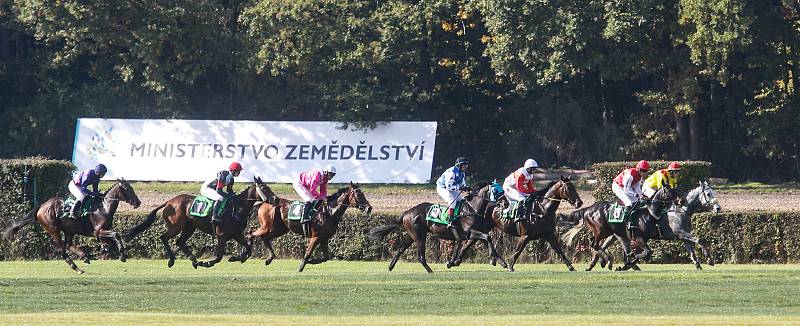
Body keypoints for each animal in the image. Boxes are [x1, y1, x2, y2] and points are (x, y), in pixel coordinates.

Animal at [3, 180, 141, 274]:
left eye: (131, 187)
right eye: (127, 188)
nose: (138, 202)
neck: (104, 207)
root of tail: (42, 206)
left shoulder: (102, 234)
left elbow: (111, 242)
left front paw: (103, 249)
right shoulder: (98, 232)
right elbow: (116, 234)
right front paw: (122, 256)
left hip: (69, 230)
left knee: (68, 246)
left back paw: (85, 256)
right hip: (53, 229)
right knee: (62, 250)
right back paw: (77, 268)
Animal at [368, 185, 506, 274]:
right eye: (496, 190)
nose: (506, 204)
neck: (472, 210)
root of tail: (407, 212)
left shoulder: (475, 234)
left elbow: (487, 241)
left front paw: (503, 263)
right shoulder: (470, 233)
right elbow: (487, 237)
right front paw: (452, 262)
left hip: (412, 235)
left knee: (400, 249)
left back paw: (390, 267)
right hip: (420, 237)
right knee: (420, 256)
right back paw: (430, 271)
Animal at [576, 181, 724, 270]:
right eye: (708, 194)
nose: (718, 208)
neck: (680, 211)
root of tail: (588, 208)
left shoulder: (682, 236)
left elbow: (692, 251)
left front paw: (699, 266)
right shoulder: (679, 232)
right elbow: (700, 239)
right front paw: (710, 260)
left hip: (615, 234)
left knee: (601, 246)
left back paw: (600, 263)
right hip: (602, 231)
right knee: (595, 244)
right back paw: (608, 261)